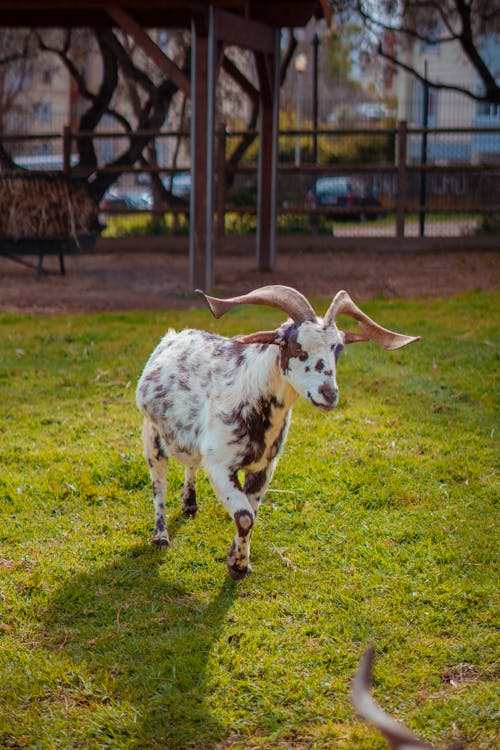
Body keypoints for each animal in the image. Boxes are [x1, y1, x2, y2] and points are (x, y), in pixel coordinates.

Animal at [136, 284, 418, 580]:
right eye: (295, 345)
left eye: (338, 349)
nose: (328, 394)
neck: (248, 392)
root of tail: (173, 337)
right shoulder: (219, 464)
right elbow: (245, 516)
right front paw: (237, 566)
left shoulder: (264, 467)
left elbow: (251, 513)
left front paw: (238, 561)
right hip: (152, 435)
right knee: (158, 484)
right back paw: (161, 536)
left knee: (190, 463)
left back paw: (190, 503)